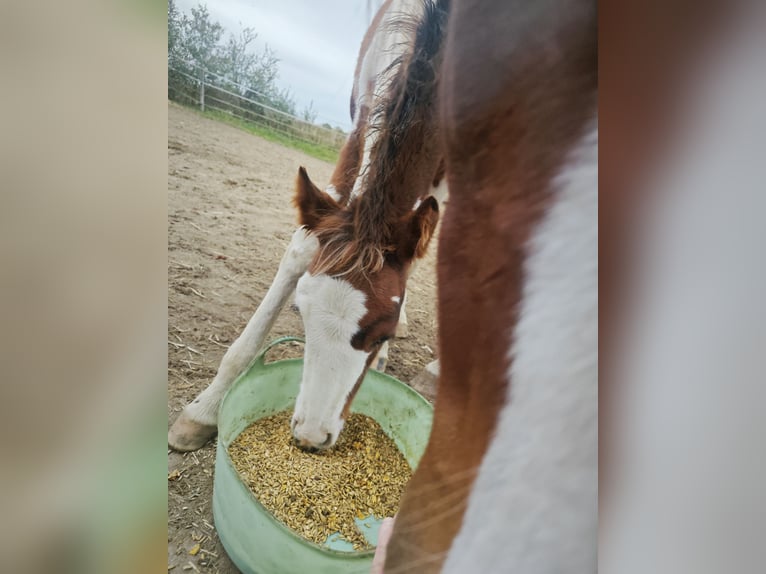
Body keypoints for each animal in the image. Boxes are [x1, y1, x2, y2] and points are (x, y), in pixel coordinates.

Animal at [166, 0, 444, 452]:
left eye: (381, 334)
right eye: (299, 311)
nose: (312, 436)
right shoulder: (362, 123)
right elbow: (300, 249)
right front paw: (202, 411)